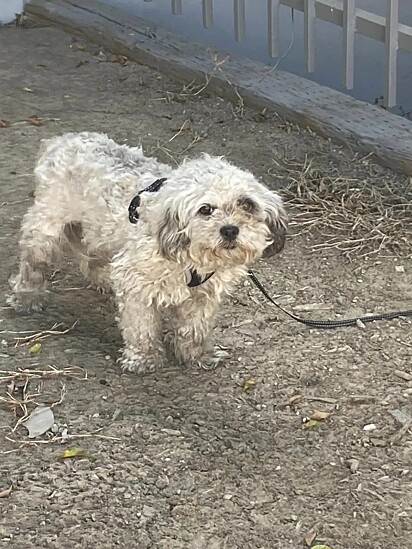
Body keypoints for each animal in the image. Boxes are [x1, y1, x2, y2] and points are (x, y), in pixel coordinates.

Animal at [8, 133, 286, 372]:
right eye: (205, 209)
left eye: (247, 204)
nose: (230, 230)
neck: (190, 258)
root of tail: (61, 139)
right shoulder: (135, 283)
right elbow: (141, 326)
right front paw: (144, 358)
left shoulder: (203, 295)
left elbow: (194, 329)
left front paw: (197, 355)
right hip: (46, 229)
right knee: (33, 263)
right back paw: (27, 297)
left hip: (100, 231)